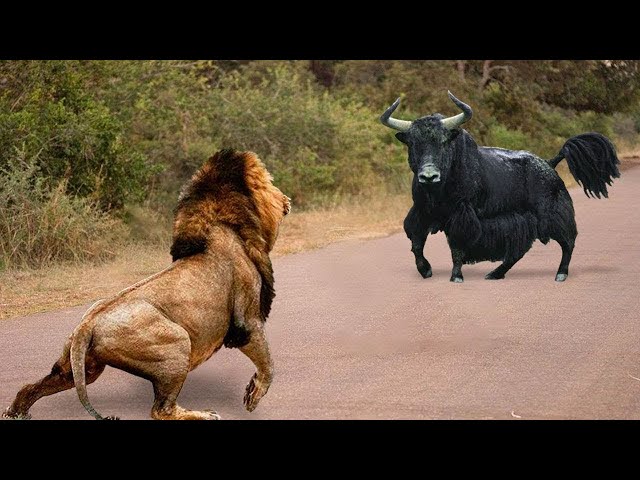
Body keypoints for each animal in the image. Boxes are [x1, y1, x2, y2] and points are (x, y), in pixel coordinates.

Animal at [4, 149, 291, 420]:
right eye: (271, 185)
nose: (287, 200)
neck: (225, 223)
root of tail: (88, 324)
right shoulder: (247, 322)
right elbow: (268, 363)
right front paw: (254, 395)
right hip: (178, 343)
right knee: (161, 410)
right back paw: (205, 414)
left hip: (80, 368)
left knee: (29, 387)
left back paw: (15, 412)